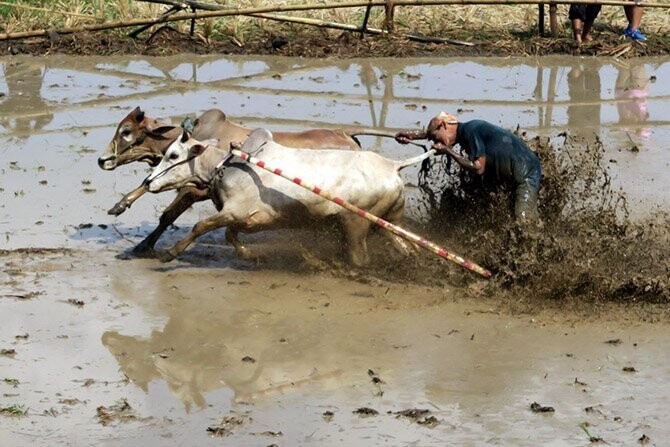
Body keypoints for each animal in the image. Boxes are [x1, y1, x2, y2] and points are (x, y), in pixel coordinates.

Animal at [147, 128, 436, 266]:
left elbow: (201, 226)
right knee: (407, 247)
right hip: (389, 221)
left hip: (356, 223)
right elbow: (230, 235)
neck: (226, 166)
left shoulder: (234, 211)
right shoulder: (243, 219)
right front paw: (251, 255)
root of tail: (392, 166)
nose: (148, 181)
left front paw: (170, 253)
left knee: (359, 257)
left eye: (173, 155)